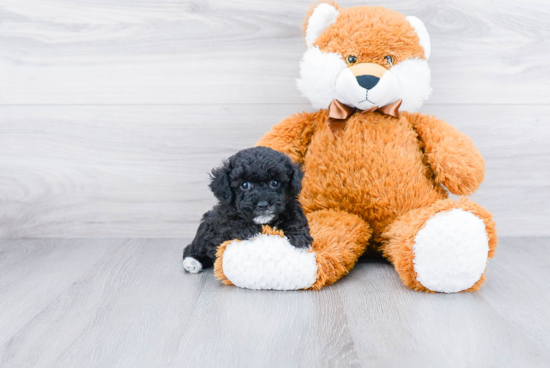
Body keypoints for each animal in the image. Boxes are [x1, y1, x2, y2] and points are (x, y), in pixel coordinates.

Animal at [183, 147, 312, 274]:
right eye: (244, 185)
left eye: (275, 183)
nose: (263, 205)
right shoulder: (221, 220)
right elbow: (231, 223)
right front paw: (247, 229)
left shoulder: (291, 207)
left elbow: (295, 219)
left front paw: (299, 236)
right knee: (193, 248)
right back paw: (192, 262)